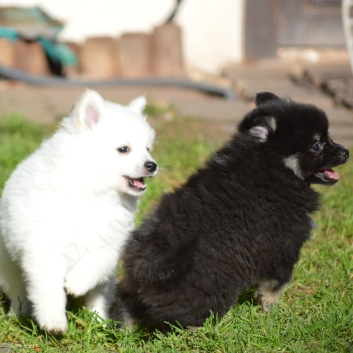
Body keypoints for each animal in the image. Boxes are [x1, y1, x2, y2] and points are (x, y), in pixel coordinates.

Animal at [0, 88, 157, 332]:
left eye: (147, 148)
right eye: (124, 149)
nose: (152, 165)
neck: (93, 193)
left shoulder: (113, 239)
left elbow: (98, 261)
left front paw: (76, 282)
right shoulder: (44, 248)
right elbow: (50, 289)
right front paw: (53, 322)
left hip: (106, 284)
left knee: (98, 296)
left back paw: (99, 322)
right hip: (8, 267)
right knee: (19, 293)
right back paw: (16, 315)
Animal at [111, 92, 348, 332]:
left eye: (329, 138)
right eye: (317, 145)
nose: (346, 152)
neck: (272, 165)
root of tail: (146, 265)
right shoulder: (286, 246)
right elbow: (278, 282)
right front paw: (268, 307)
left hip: (132, 290)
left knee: (126, 308)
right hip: (205, 297)